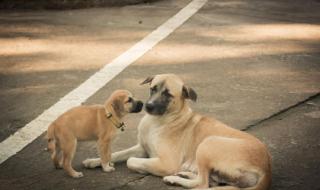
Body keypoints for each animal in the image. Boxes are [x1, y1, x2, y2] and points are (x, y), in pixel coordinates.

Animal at [83, 73, 272, 189]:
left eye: (168, 94)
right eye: (152, 89)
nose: (147, 106)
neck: (159, 121)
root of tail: (267, 167)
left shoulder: (166, 162)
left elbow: (130, 160)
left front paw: (142, 169)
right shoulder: (142, 147)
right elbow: (116, 153)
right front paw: (95, 161)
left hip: (208, 143)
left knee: (203, 184)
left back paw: (174, 178)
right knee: (209, 181)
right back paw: (184, 174)